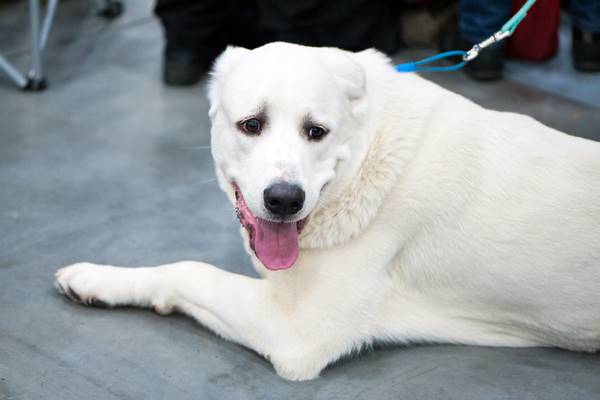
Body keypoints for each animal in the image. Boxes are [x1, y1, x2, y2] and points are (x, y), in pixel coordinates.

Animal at [54, 42, 596, 380]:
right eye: (251, 125)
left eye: (316, 131)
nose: (284, 199)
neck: (366, 154)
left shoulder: (296, 330)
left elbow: (188, 270)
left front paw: (96, 279)